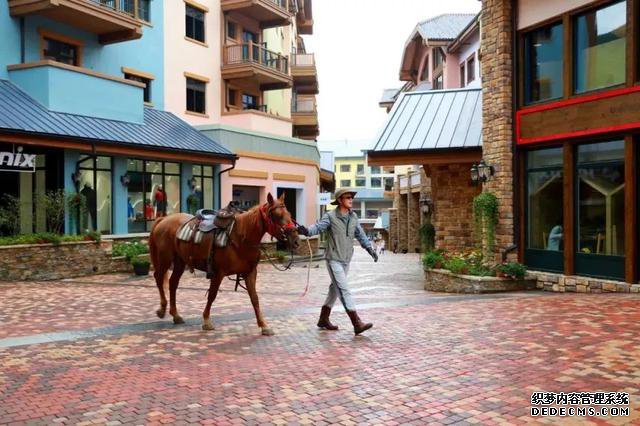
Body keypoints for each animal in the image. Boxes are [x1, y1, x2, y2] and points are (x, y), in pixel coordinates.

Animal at [148, 193, 300, 336]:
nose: (296, 240)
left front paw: (264, 326)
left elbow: (255, 298)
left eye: (289, 214)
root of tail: (164, 219)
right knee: (159, 278)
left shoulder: (250, 272)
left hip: (180, 261)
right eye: (277, 216)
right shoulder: (218, 273)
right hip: (165, 259)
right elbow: (212, 295)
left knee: (173, 283)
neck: (240, 237)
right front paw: (206, 321)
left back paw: (176, 315)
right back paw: (162, 309)